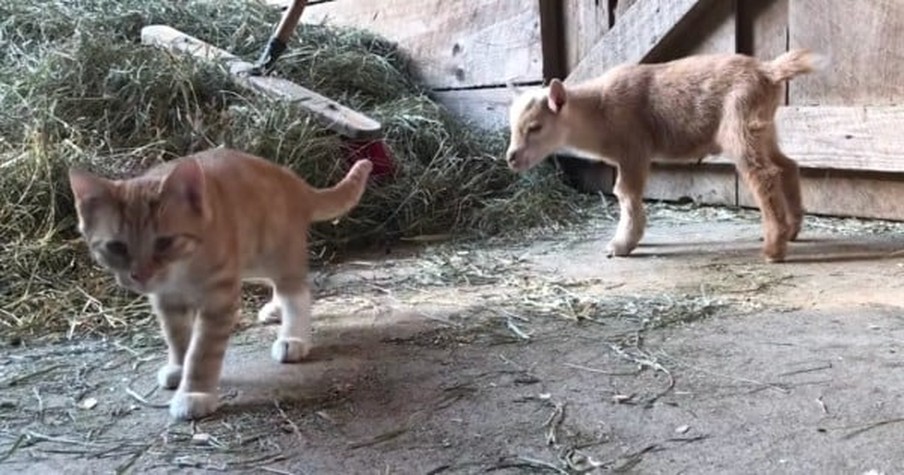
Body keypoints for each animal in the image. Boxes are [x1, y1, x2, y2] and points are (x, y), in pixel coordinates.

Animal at [66, 149, 370, 420]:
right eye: (116, 247)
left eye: (164, 242)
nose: (140, 275)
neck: (183, 269)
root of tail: (289, 178)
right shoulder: (166, 300)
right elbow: (177, 337)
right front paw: (179, 366)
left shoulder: (218, 299)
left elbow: (202, 351)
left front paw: (194, 393)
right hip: (250, 261)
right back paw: (276, 309)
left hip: (275, 253)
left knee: (297, 293)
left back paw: (293, 338)